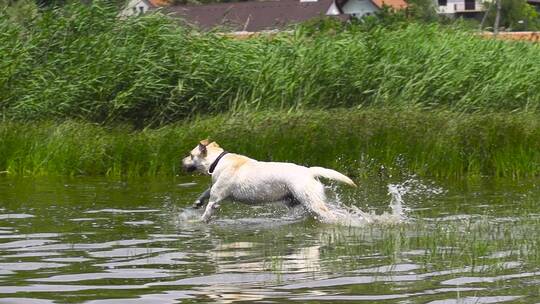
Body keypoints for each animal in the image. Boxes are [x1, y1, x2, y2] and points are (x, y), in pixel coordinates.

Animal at [184, 139, 356, 222]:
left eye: (191, 155)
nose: (181, 161)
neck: (218, 160)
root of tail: (309, 171)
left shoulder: (216, 198)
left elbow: (207, 211)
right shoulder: (215, 189)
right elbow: (206, 191)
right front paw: (197, 203)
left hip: (311, 201)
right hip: (302, 202)